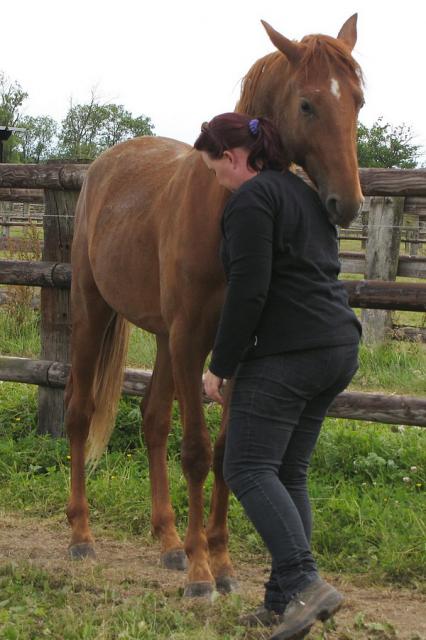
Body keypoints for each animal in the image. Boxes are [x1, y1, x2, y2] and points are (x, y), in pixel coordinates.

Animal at [65, 15, 364, 600]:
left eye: (359, 100)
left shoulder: (238, 348)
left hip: (161, 337)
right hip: (95, 313)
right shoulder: (192, 341)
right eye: (308, 104)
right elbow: (198, 452)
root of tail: (102, 167)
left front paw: (220, 562)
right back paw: (82, 535)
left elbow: (227, 452)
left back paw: (167, 542)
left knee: (154, 421)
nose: (348, 203)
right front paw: (202, 572)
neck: (223, 206)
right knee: (80, 415)